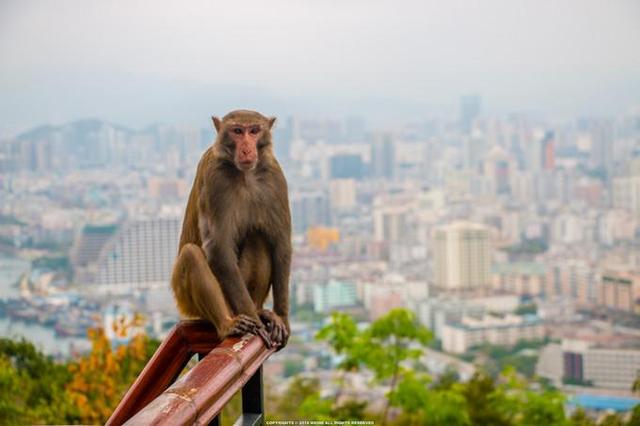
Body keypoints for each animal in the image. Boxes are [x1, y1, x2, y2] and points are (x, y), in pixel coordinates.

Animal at [170, 110, 290, 350]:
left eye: (254, 131)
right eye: (237, 131)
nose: (246, 148)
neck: (245, 175)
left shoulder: (275, 176)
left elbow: (281, 243)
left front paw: (282, 316)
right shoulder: (215, 180)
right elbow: (219, 249)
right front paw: (254, 322)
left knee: (257, 238)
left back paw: (260, 311)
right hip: (191, 301)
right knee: (190, 255)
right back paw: (230, 323)